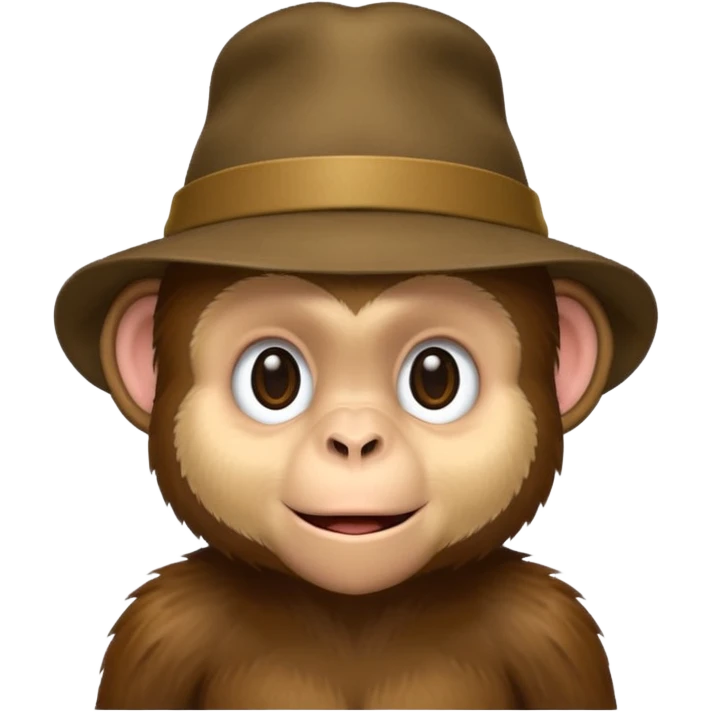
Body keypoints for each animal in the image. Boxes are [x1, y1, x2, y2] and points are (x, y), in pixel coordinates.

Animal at [89, 262, 621, 710]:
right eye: (273, 377)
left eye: (436, 378)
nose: (354, 441)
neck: (355, 617)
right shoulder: (160, 630)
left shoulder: (551, 630)